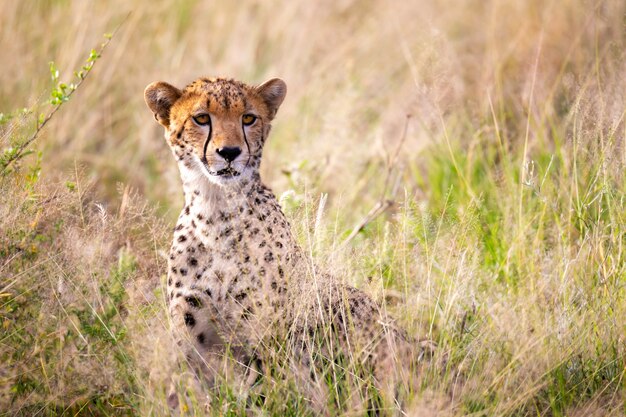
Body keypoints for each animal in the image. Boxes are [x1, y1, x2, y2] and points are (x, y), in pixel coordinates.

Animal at [145, 76, 428, 412]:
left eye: (248, 118)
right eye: (201, 118)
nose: (229, 152)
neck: (216, 209)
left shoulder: (264, 339)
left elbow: (263, 396)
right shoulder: (193, 338)